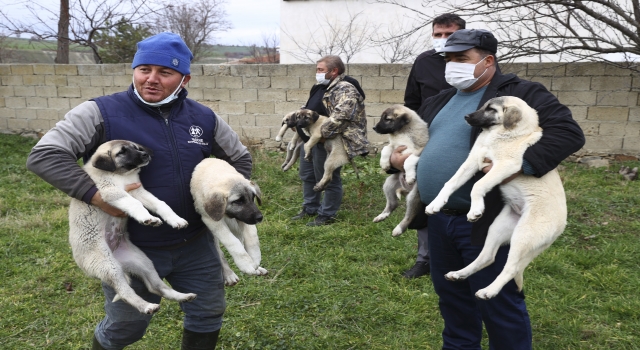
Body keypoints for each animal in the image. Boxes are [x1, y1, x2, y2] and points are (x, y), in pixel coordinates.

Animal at [68, 139, 196, 314]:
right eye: (122, 152)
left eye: (136, 148)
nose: (145, 154)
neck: (121, 175)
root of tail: (115, 254)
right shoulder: (111, 191)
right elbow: (134, 204)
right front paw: (148, 218)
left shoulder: (138, 191)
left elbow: (160, 204)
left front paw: (176, 220)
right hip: (109, 266)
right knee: (125, 293)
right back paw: (147, 306)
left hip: (142, 262)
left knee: (155, 287)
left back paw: (182, 296)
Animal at [192, 159, 268, 288]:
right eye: (238, 201)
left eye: (253, 197)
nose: (259, 217)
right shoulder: (212, 220)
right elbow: (232, 242)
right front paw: (246, 263)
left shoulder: (244, 219)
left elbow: (252, 238)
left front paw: (255, 259)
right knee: (220, 253)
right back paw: (229, 275)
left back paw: (257, 269)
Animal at [370, 104, 430, 235]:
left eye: (387, 119)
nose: (373, 128)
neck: (401, 132)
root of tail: (405, 189)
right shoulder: (394, 146)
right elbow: (386, 148)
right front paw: (384, 163)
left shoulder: (420, 149)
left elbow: (409, 160)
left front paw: (410, 176)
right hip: (389, 184)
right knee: (393, 204)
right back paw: (382, 216)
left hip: (414, 195)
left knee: (410, 215)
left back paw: (398, 229)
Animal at [424, 96, 564, 300]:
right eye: (483, 106)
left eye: (491, 109)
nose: (466, 116)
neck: (500, 134)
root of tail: (561, 227)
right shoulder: (473, 161)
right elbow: (450, 183)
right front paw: (435, 204)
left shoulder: (506, 165)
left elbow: (478, 186)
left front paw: (475, 210)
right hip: (499, 227)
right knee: (487, 257)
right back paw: (459, 274)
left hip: (523, 236)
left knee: (511, 268)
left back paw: (488, 291)